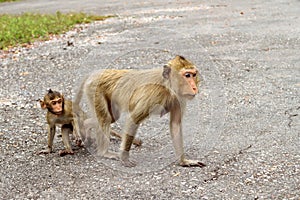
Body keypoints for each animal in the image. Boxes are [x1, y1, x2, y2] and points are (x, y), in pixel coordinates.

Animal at [76, 55, 205, 167]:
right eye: (187, 75)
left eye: (194, 75)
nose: (194, 88)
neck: (168, 86)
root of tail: (95, 74)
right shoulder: (153, 94)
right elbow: (133, 120)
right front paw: (124, 158)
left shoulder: (179, 99)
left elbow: (175, 125)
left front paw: (184, 161)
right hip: (95, 90)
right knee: (105, 118)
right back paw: (104, 152)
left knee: (112, 117)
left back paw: (85, 125)